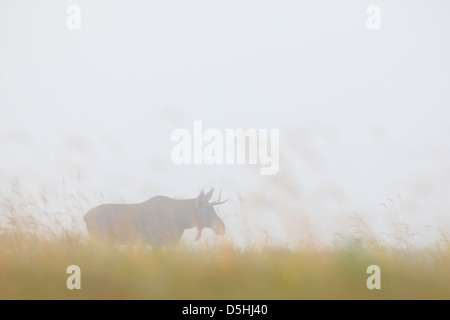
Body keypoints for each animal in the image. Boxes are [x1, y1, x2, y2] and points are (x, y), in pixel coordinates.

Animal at [83, 188, 227, 248]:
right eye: (207, 210)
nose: (222, 227)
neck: (182, 221)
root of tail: (85, 217)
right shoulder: (166, 242)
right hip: (100, 240)